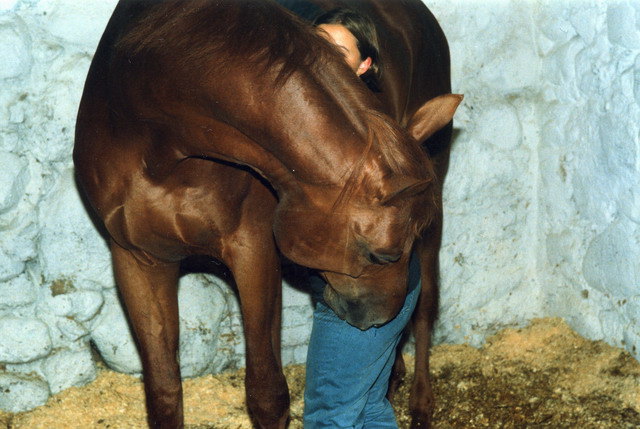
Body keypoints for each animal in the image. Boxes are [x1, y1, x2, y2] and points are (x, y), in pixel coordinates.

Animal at [75, 0, 458, 428]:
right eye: (381, 255)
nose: (384, 320)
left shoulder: (253, 250)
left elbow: (267, 395)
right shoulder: (138, 258)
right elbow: (163, 393)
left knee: (426, 305)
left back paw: (421, 399)